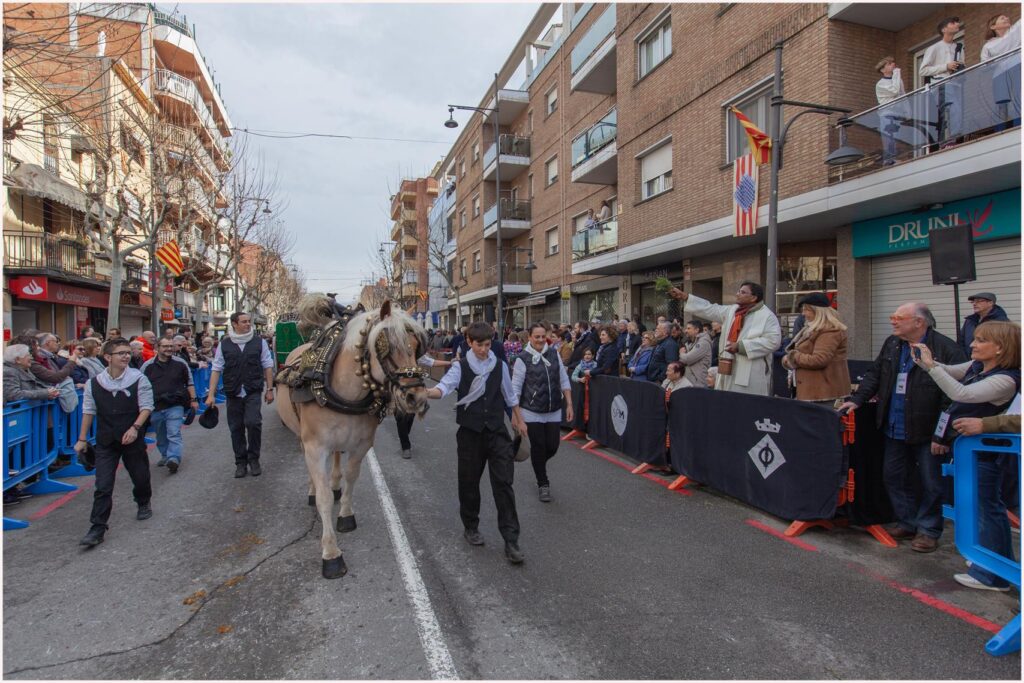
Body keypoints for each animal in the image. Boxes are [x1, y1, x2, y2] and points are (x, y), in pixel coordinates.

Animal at [276, 296, 429, 579]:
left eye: (416, 347)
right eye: (387, 345)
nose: (417, 398)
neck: (344, 389)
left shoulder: (360, 444)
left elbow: (351, 477)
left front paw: (346, 514)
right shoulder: (315, 447)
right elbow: (324, 497)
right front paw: (331, 553)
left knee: (338, 458)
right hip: (301, 435)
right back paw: (313, 490)